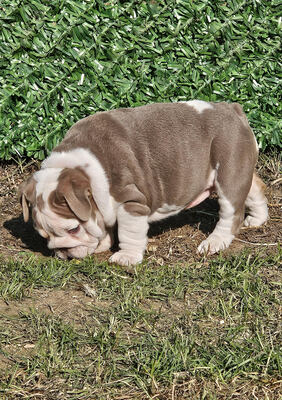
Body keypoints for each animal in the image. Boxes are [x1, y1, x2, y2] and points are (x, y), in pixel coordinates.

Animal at [18, 100, 268, 266]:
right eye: (43, 236)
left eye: (74, 229)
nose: (63, 252)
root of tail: (232, 109)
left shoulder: (131, 202)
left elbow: (128, 231)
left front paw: (126, 257)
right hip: (239, 168)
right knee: (253, 187)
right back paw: (257, 219)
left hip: (228, 168)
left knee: (230, 212)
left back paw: (215, 242)